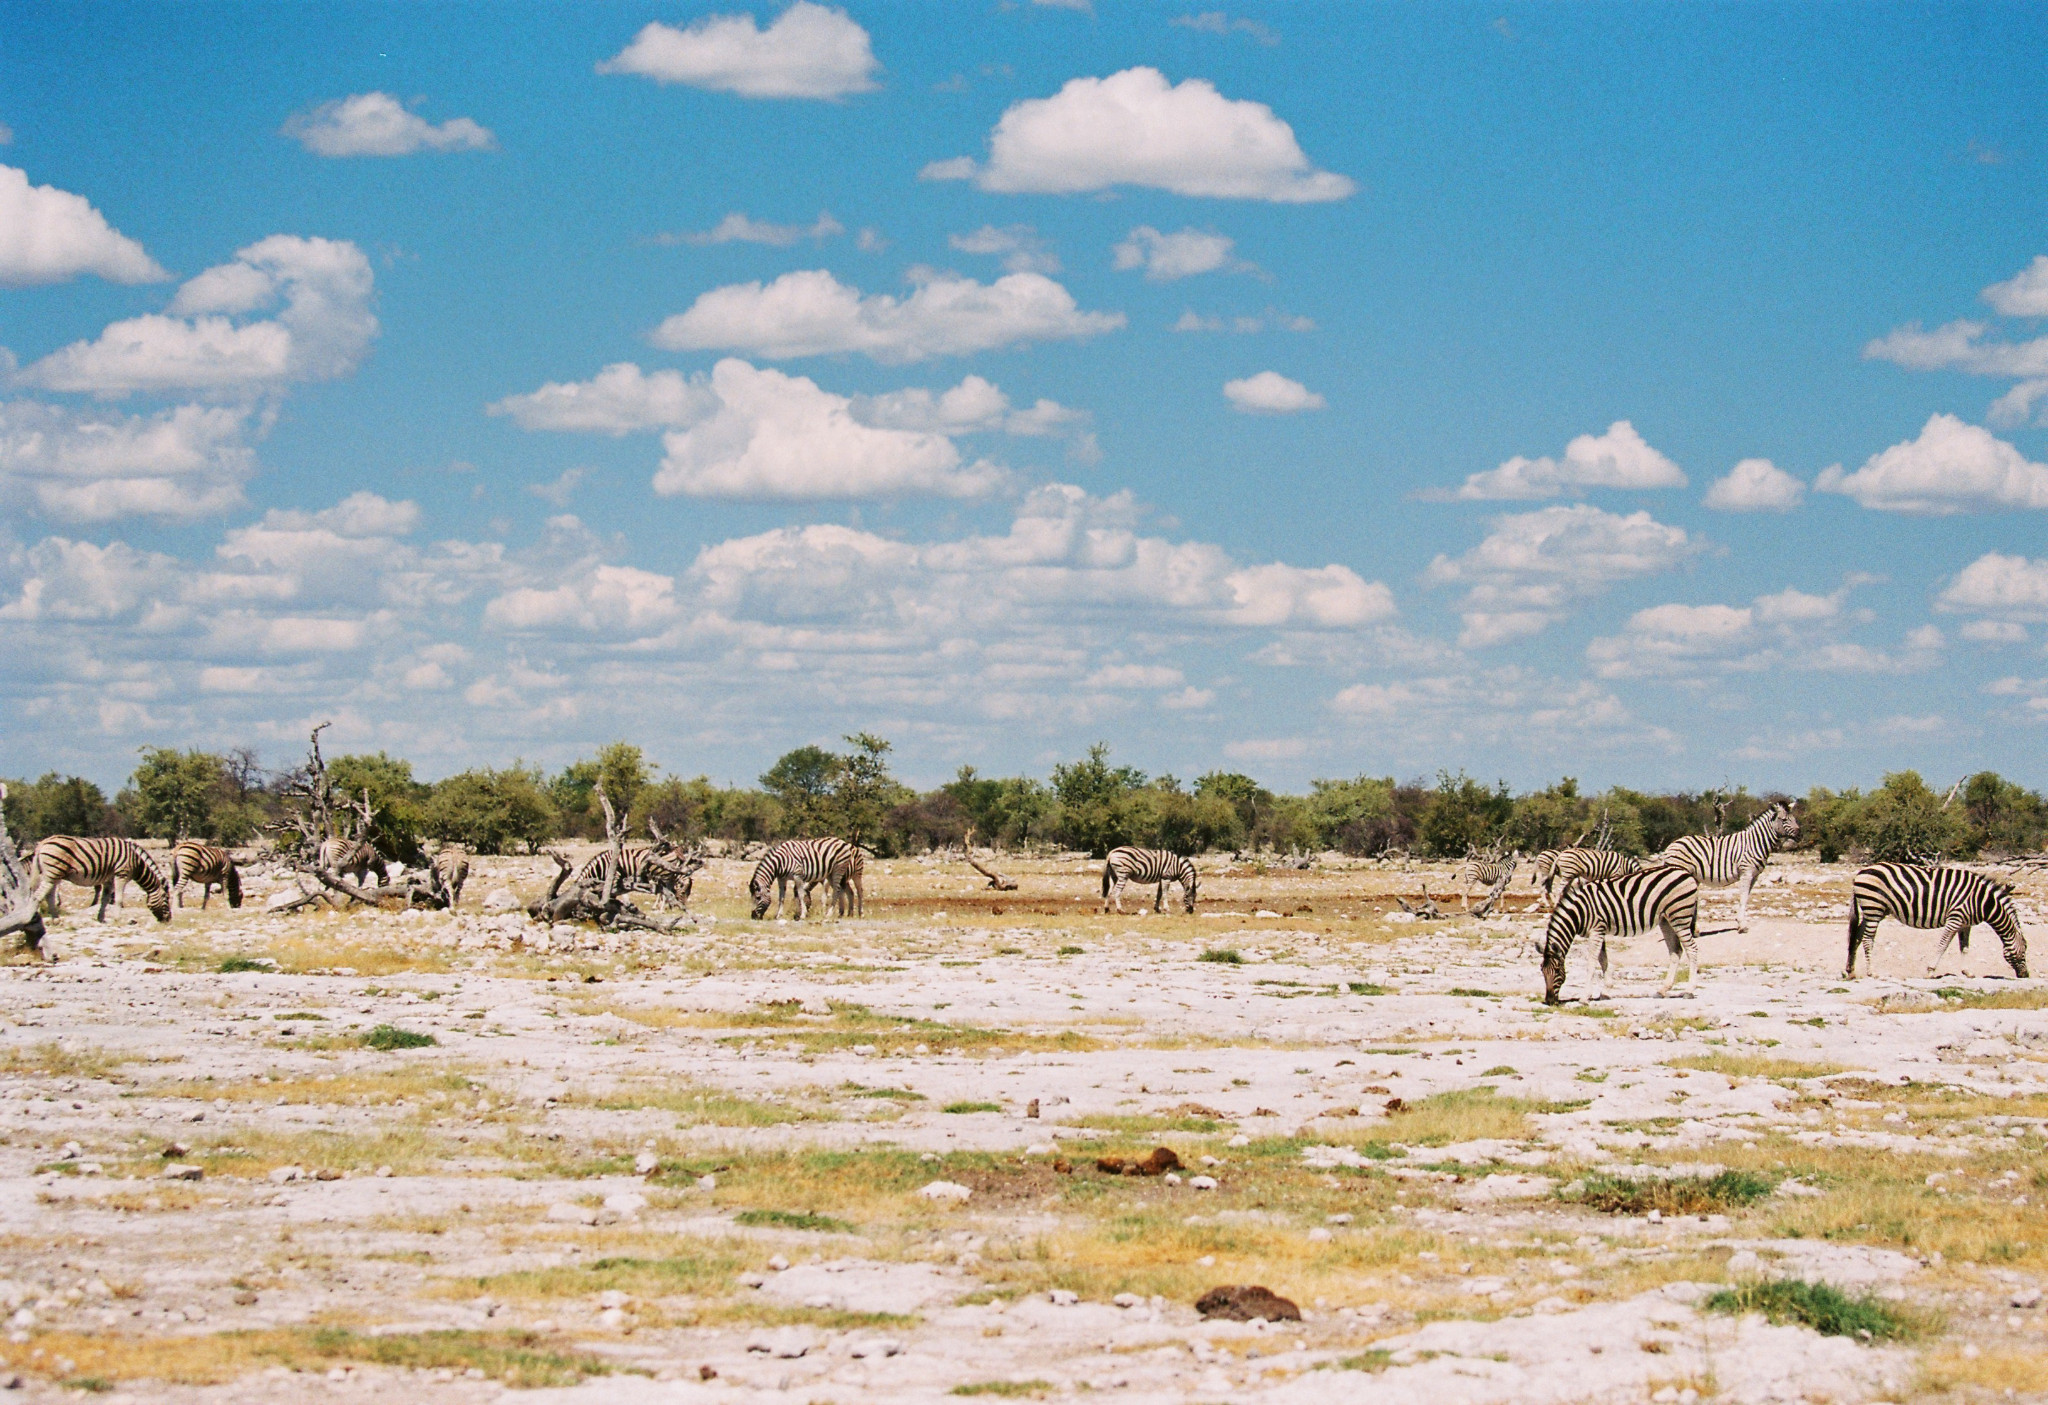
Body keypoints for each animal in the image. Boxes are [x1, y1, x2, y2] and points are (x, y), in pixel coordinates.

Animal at [31, 843, 172, 929]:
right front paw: (116, 916)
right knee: (41, 893)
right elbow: (116, 897)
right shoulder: (118, 875)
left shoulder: (109, 877)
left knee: (48, 894)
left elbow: (105, 897)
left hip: (55, 874)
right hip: (53, 872)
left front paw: (102, 916)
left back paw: (55, 917)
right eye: (166, 899)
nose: (168, 920)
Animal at [1540, 864, 1695, 1007]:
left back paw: (1689, 992)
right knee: (1676, 951)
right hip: (1665, 919)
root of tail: (1683, 870)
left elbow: (1591, 962)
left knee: (1692, 949)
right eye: (1542, 970)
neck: (1579, 912)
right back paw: (1662, 990)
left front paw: (1584, 997)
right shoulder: (1599, 931)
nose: (1549, 1001)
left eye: (1557, 971)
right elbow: (1603, 959)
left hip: (1680, 916)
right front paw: (1605, 991)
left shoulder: (1596, 930)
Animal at [1654, 802, 1802, 933]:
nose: (1800, 835)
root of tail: (1671, 845)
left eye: (1794, 818)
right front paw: (1742, 925)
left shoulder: (1755, 875)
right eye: (1784, 819)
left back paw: (1694, 930)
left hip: (1692, 877)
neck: (1756, 843)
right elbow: (1743, 897)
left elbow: (1746, 897)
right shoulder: (1746, 872)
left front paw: (1740, 922)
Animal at [1843, 864, 2031, 987]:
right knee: (1867, 939)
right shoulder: (1955, 919)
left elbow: (1965, 948)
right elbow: (1943, 945)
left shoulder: (1965, 924)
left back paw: (1850, 970)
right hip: (1874, 907)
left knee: (1857, 935)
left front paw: (1967, 972)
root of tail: (1859, 873)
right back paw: (1872, 972)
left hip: (1876, 910)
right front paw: (1930, 971)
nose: (2026, 975)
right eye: (2024, 951)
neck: (1983, 902)